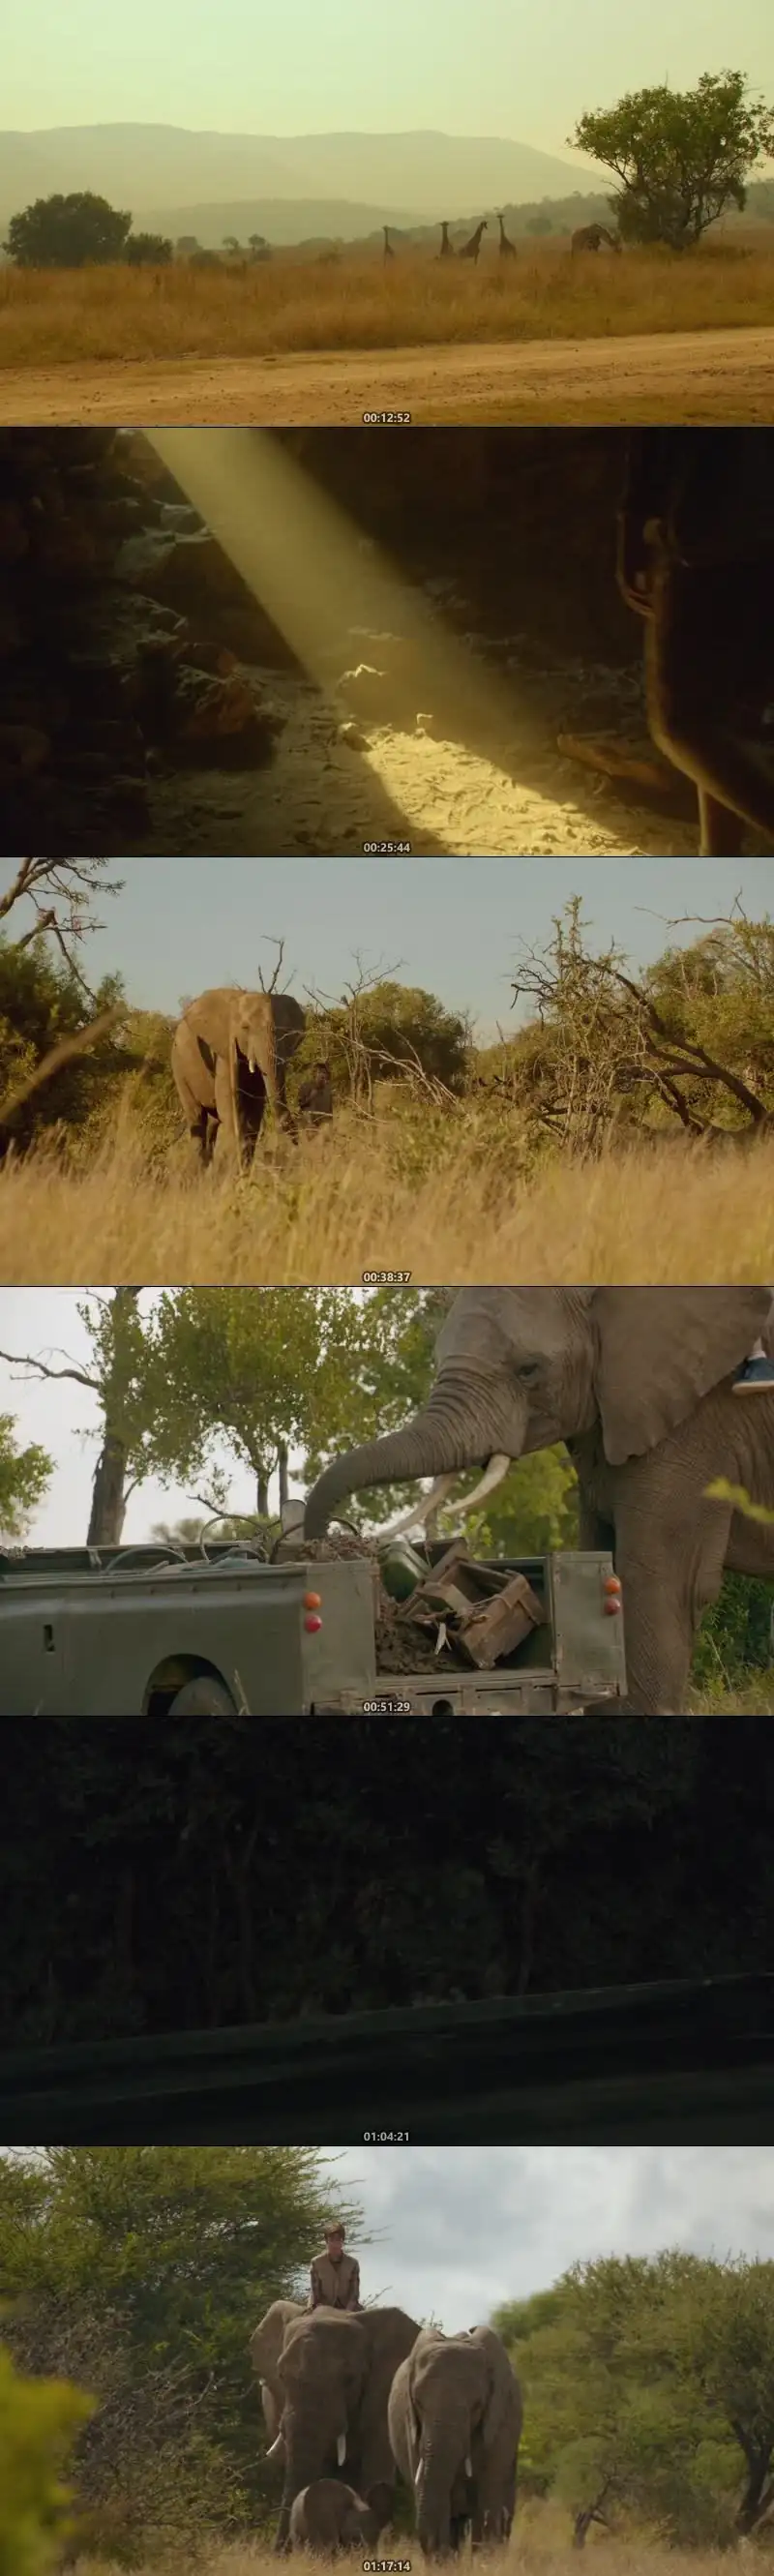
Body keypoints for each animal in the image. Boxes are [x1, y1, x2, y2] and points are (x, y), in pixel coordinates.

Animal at [171, 985, 306, 1166]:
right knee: (197, 1118)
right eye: (245, 1028)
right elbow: (232, 1107)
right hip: (179, 1067)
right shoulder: (224, 1050)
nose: (298, 1144)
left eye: (283, 1031)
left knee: (212, 1123)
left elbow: (254, 1111)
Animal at [388, 2324, 522, 2558]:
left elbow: (488, 2497)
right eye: (418, 2403)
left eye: (477, 2405)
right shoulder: (410, 2425)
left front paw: (486, 2561)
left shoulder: (501, 2421)